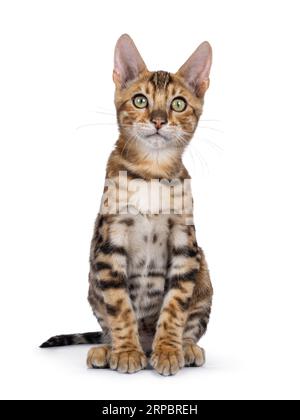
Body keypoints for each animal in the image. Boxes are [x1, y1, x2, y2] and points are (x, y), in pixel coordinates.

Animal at [41, 33, 213, 378]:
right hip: (92, 281)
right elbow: (120, 307)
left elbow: (175, 306)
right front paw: (126, 351)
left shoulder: (184, 244)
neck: (151, 172)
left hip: (204, 273)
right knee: (107, 321)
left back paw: (183, 348)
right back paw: (110, 349)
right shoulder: (110, 244)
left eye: (178, 103)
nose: (159, 120)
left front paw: (168, 350)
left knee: (190, 322)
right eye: (140, 100)